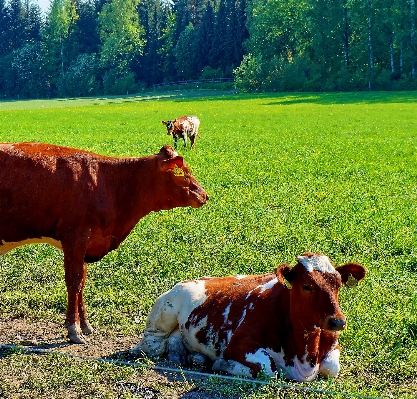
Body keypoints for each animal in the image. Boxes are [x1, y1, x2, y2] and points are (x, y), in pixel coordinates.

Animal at [0, 143, 208, 344]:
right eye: (182, 172)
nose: (205, 195)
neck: (110, 183)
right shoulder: (75, 237)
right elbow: (74, 282)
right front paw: (74, 330)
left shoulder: (86, 244)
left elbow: (82, 282)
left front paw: (85, 325)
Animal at [132, 253, 364, 382]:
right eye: (307, 286)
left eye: (338, 284)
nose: (338, 321)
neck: (304, 355)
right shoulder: (239, 345)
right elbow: (268, 369)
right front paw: (222, 364)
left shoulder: (333, 346)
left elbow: (331, 368)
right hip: (164, 310)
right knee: (152, 344)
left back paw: (191, 356)